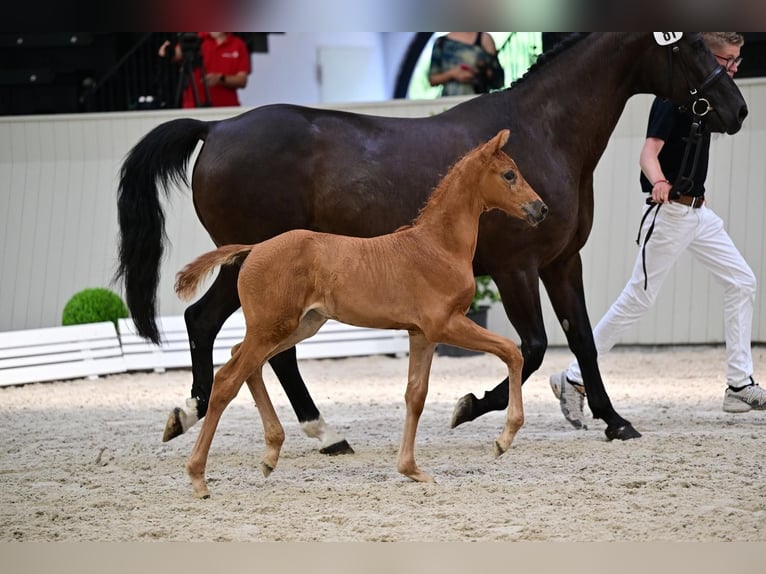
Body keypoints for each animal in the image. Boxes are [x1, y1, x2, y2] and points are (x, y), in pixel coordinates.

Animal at [116, 33, 747, 450]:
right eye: (692, 45)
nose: (737, 109)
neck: (544, 132)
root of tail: (216, 127)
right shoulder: (515, 266)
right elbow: (532, 347)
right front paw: (468, 409)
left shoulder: (563, 263)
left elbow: (584, 343)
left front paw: (616, 422)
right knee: (221, 328)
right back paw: (266, 424)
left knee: (238, 336)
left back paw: (272, 425)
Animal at [174, 130, 548, 498]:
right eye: (509, 175)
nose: (541, 209)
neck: (437, 246)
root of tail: (254, 249)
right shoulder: (446, 325)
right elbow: (512, 352)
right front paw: (503, 440)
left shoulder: (422, 334)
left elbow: (415, 394)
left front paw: (411, 470)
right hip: (272, 328)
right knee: (228, 379)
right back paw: (198, 476)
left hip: (297, 326)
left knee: (246, 362)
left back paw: (270, 455)